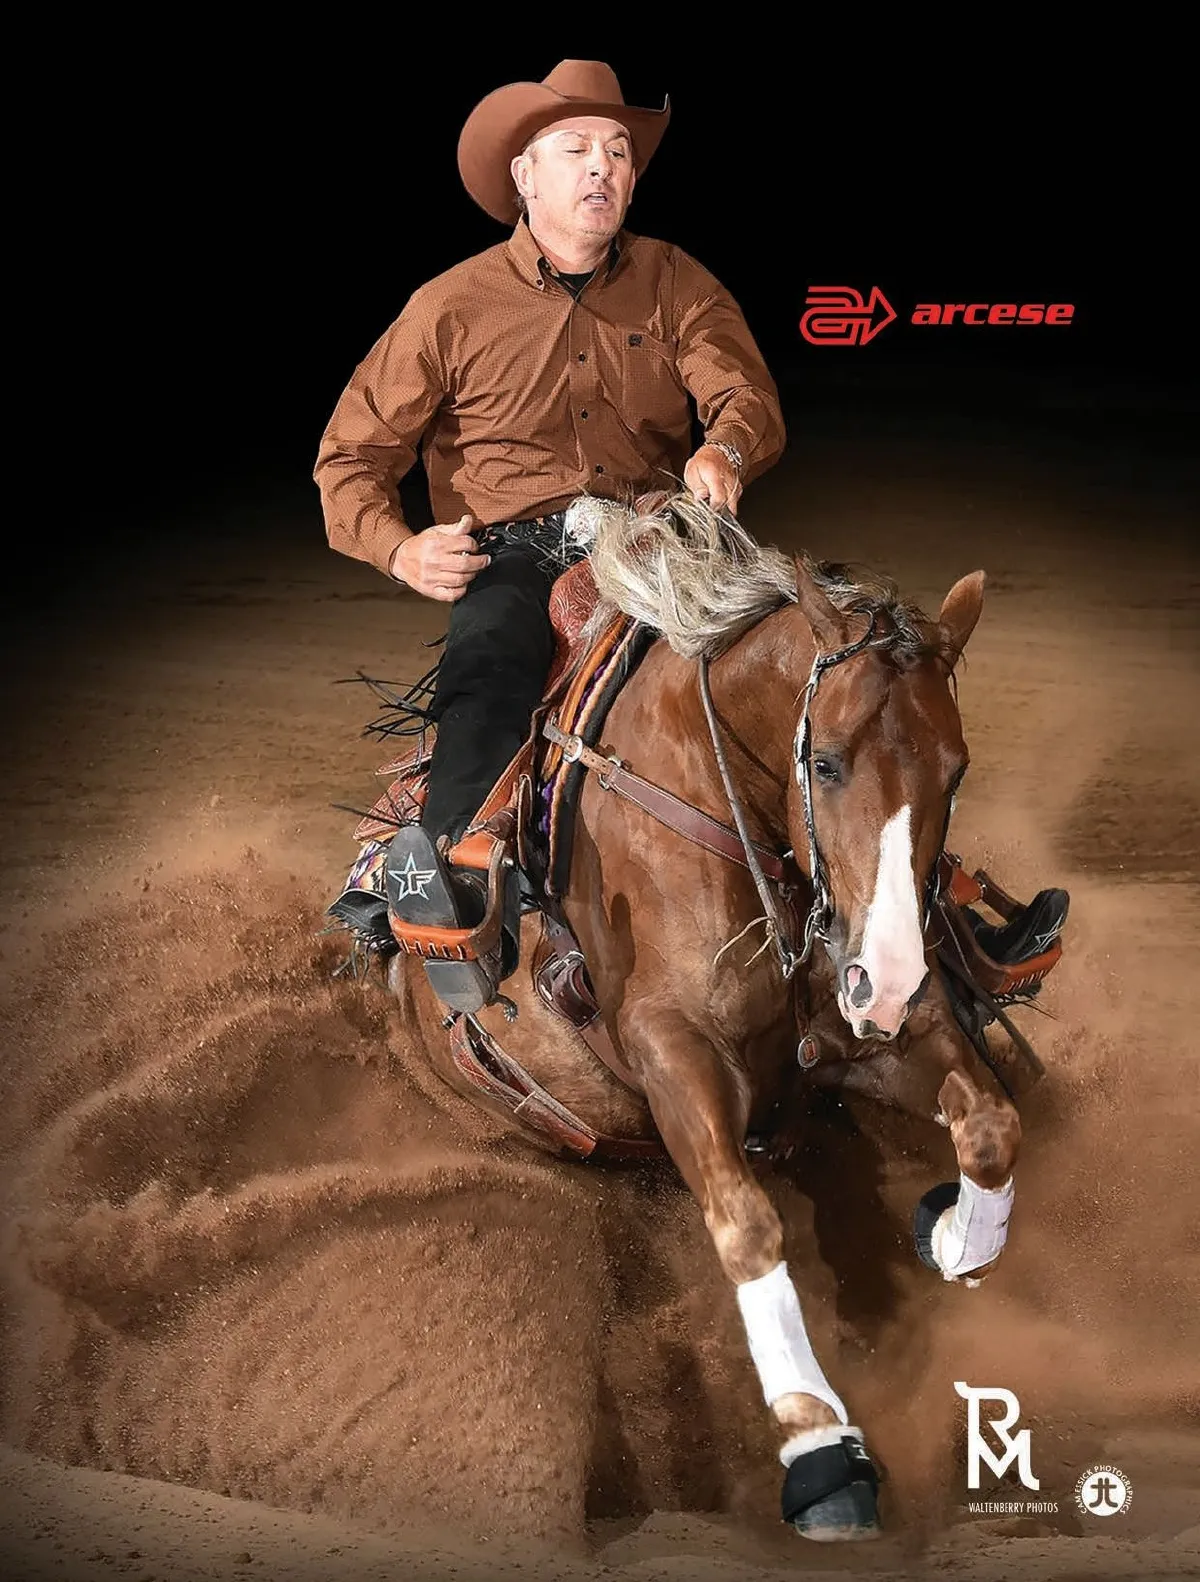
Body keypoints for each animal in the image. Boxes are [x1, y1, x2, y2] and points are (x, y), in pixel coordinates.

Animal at [379, 494, 1023, 1542]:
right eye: (827, 763)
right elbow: (746, 1227)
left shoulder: (872, 1025)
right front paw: (820, 1446)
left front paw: (958, 1236)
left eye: (956, 769)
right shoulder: (671, 1048)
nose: (882, 976)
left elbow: (992, 1123)